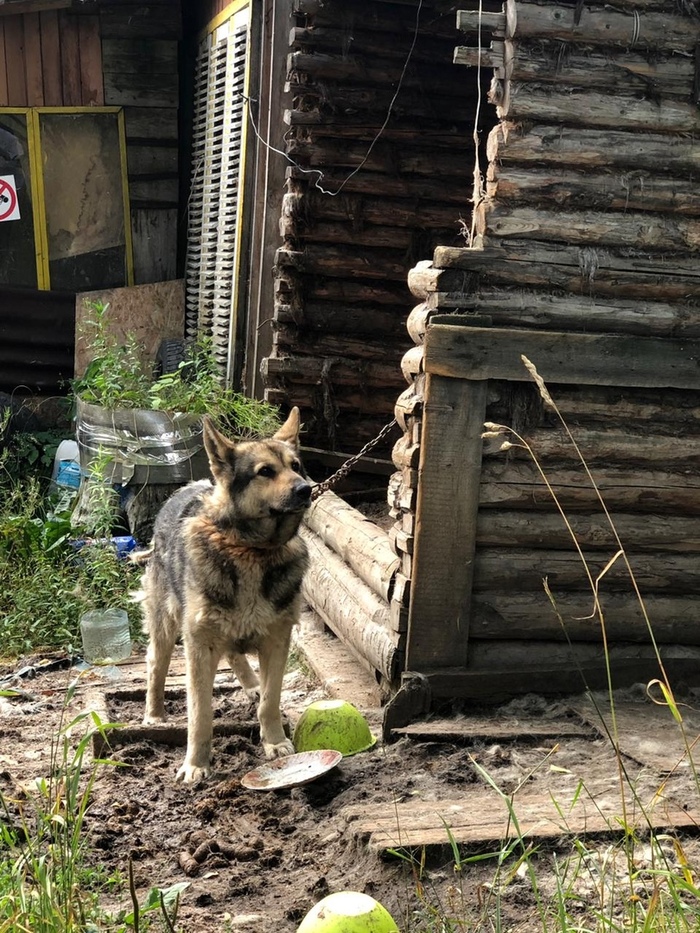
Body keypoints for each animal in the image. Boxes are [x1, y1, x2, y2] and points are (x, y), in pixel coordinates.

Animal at [137, 412, 312, 784]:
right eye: (265, 471)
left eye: (296, 466)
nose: (305, 489)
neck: (251, 550)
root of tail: (187, 487)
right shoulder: (198, 647)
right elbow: (200, 715)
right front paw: (195, 765)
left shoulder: (277, 640)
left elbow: (270, 701)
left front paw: (275, 742)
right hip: (167, 627)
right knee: (156, 664)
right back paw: (154, 713)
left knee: (235, 655)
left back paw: (252, 684)